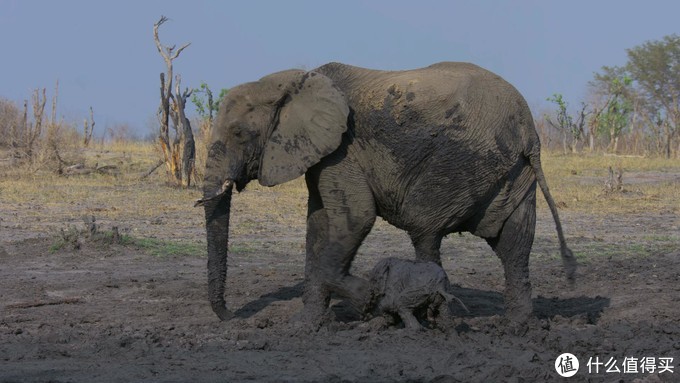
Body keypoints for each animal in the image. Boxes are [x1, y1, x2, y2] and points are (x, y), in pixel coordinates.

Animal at [197, 62, 572, 328]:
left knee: (427, 232)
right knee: (514, 243)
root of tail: (529, 129)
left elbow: (356, 218)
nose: (233, 317)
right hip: (516, 172)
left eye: (238, 132)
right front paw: (304, 326)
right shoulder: (322, 155)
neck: (297, 81)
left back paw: (435, 322)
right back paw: (516, 327)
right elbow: (318, 225)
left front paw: (367, 301)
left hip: (464, 163)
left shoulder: (344, 151)